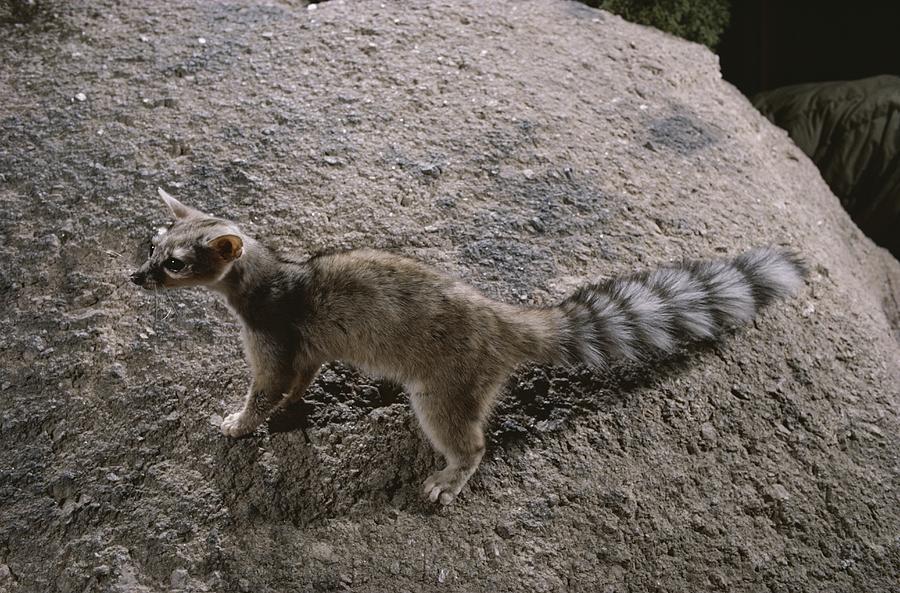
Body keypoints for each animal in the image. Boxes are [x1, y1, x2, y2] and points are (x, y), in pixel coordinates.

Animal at [134, 188, 808, 504]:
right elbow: (300, 378)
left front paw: (242, 420)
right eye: (153, 244)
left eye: (175, 263)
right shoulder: (306, 347)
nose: (135, 278)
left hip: (444, 390)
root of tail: (502, 319)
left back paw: (455, 471)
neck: (267, 273)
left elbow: (265, 387)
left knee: (470, 438)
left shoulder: (272, 336)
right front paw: (291, 408)